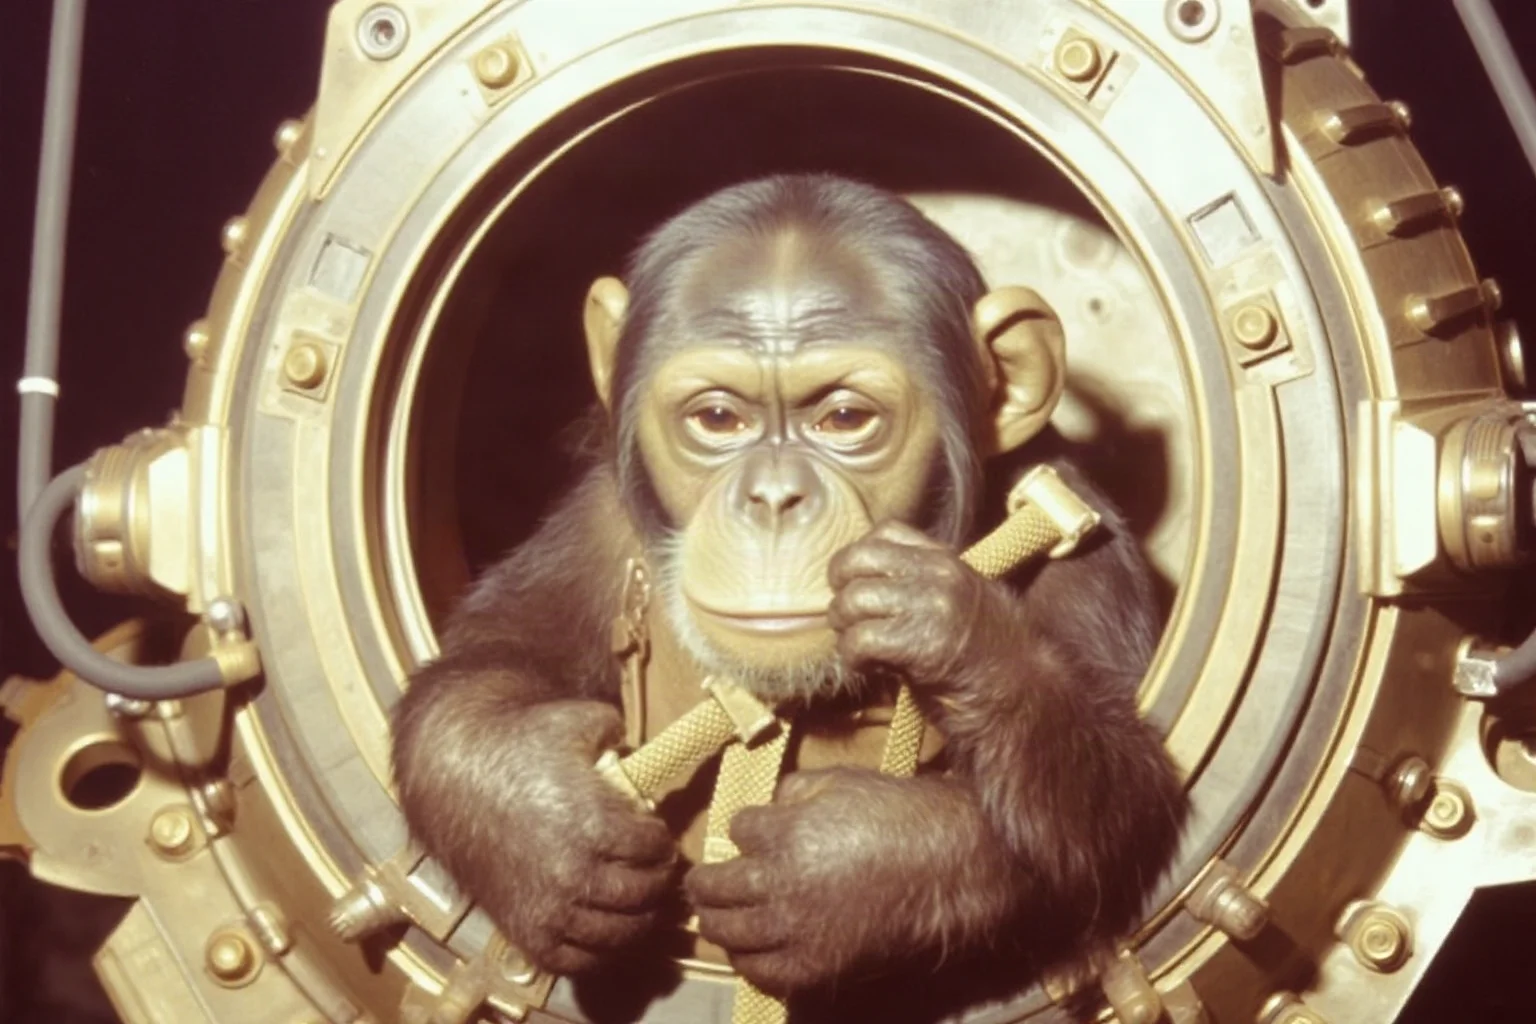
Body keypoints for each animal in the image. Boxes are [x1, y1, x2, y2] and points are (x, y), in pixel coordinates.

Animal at [391, 174, 1188, 1019]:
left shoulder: (1086, 550)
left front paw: (848, 868)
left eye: (844, 418)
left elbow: (1126, 792)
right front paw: (543, 822)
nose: (774, 497)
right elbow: (490, 657)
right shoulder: (599, 522)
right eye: (718, 417)